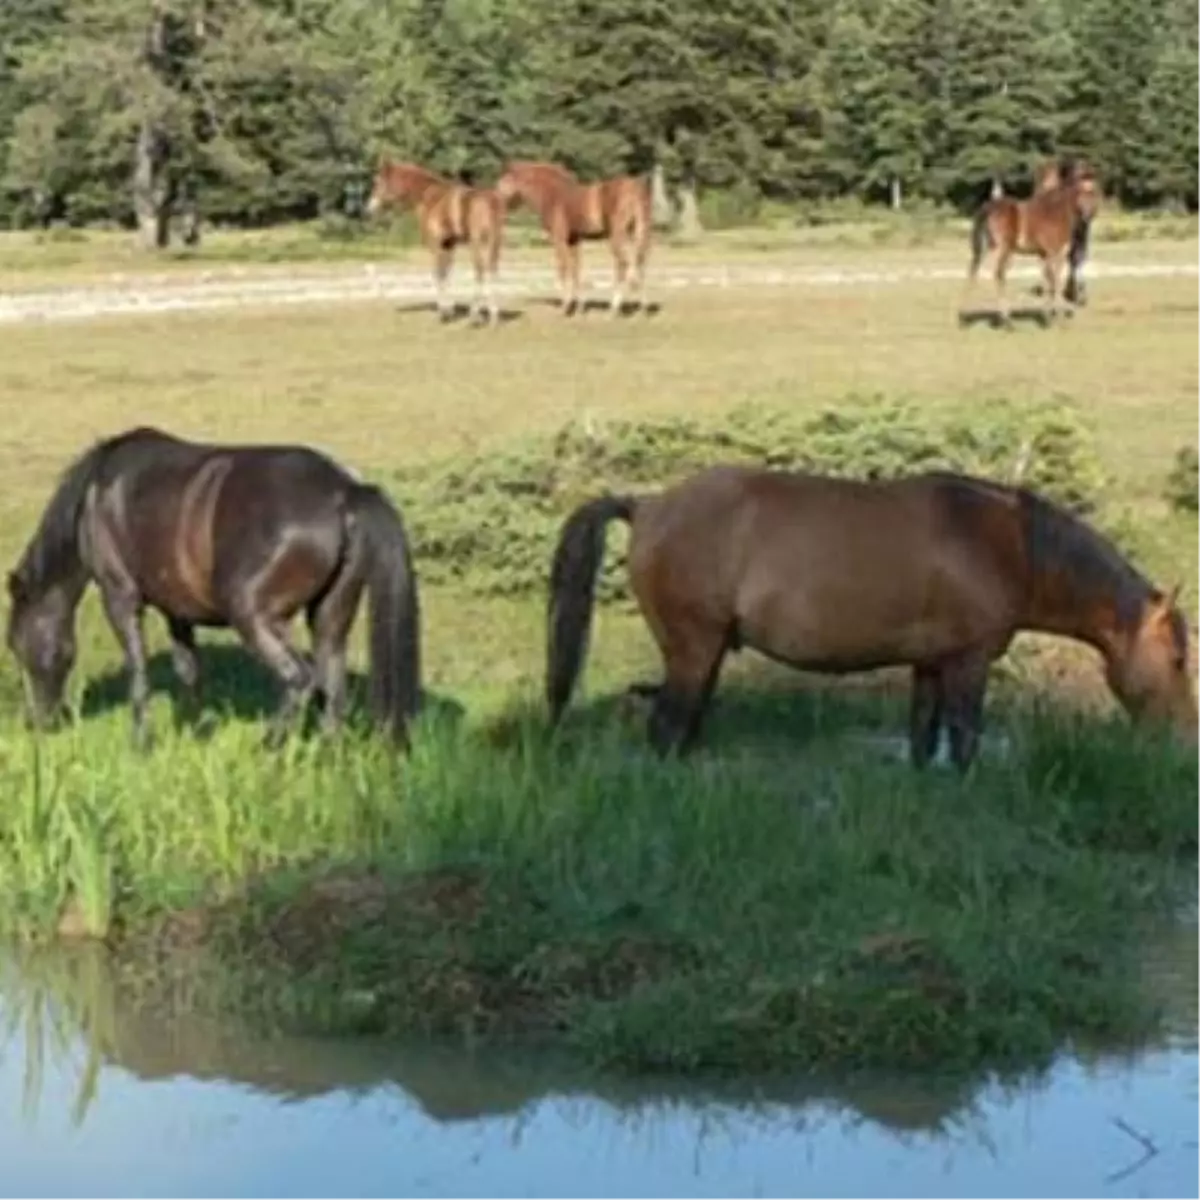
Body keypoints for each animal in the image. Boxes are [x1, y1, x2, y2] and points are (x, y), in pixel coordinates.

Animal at [3, 427, 422, 748]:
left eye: (17, 646)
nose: (36, 722)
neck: (95, 496)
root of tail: (344, 492)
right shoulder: (177, 611)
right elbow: (189, 671)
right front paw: (193, 733)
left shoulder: (120, 597)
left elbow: (139, 673)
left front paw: (142, 743)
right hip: (329, 616)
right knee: (332, 689)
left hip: (253, 617)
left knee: (299, 679)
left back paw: (269, 746)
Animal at [360, 159, 501, 331]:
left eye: (378, 182)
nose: (369, 208)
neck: (430, 198)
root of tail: (491, 200)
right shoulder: (448, 245)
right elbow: (447, 274)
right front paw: (450, 311)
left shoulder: (436, 245)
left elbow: (438, 274)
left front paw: (443, 313)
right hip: (492, 244)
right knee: (491, 272)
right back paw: (493, 317)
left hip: (477, 244)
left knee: (480, 273)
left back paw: (474, 317)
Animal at [492, 160, 652, 319]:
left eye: (506, 178)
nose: (498, 199)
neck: (555, 196)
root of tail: (633, 188)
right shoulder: (573, 240)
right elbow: (575, 270)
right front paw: (580, 308)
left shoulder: (559, 240)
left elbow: (563, 267)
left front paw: (565, 307)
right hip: (636, 233)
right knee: (640, 262)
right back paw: (642, 309)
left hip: (617, 236)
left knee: (623, 264)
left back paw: (614, 309)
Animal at [547, 463, 1200, 772]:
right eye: (1175, 659)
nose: (1184, 738)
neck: (1003, 541)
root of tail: (648, 505)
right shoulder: (968, 664)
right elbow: (964, 738)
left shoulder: (931, 664)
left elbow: (923, 739)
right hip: (692, 649)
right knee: (666, 727)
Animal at [960, 162, 1099, 328]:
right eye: (1087, 191)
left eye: (1094, 191)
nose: (1090, 214)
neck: (1056, 212)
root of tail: (989, 207)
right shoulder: (1056, 254)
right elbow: (1056, 281)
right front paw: (1056, 318)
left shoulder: (1044, 255)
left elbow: (1048, 281)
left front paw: (1048, 315)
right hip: (1004, 249)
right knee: (999, 274)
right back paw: (1007, 320)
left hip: (986, 248)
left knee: (974, 271)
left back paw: (967, 317)